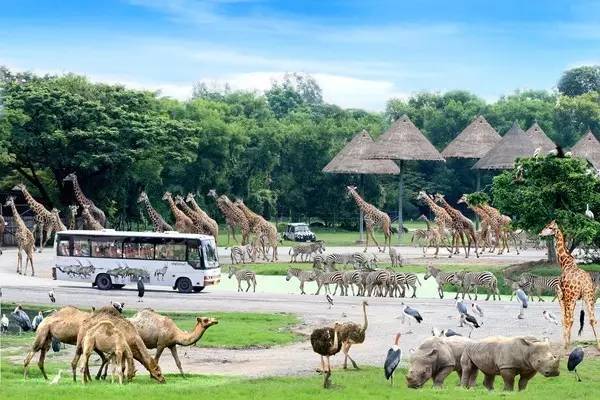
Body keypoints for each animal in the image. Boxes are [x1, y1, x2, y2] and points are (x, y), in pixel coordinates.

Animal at [540, 222, 600, 350]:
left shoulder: (562, 296)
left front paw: (566, 342)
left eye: (549, 227)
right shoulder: (573, 298)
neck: (565, 264)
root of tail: (583, 282)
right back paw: (598, 346)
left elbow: (564, 319)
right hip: (589, 296)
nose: (540, 233)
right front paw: (569, 340)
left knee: (570, 319)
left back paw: (566, 346)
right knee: (592, 319)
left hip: (571, 297)